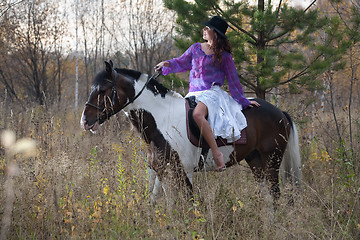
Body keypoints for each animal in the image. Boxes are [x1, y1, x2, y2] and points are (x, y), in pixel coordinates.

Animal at [81, 61, 300, 207]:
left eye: (103, 89)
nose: (85, 120)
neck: (162, 119)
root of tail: (280, 112)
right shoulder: (162, 171)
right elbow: (164, 203)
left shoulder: (184, 171)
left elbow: (188, 203)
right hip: (255, 160)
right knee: (268, 196)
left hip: (271, 159)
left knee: (275, 194)